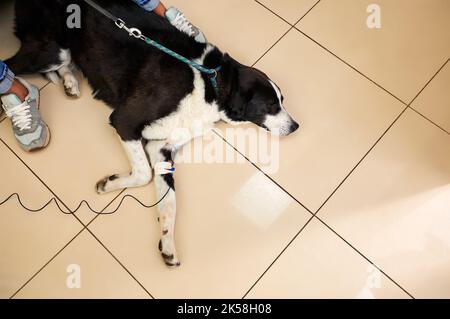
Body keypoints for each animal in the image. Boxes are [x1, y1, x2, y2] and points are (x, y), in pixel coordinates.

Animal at [6, 0, 298, 268]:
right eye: (271, 105)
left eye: (283, 100)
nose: (296, 126)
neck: (210, 84)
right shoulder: (124, 121)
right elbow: (143, 173)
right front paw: (109, 184)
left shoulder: (162, 150)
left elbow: (169, 203)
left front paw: (168, 243)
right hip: (51, 50)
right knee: (12, 64)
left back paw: (68, 81)